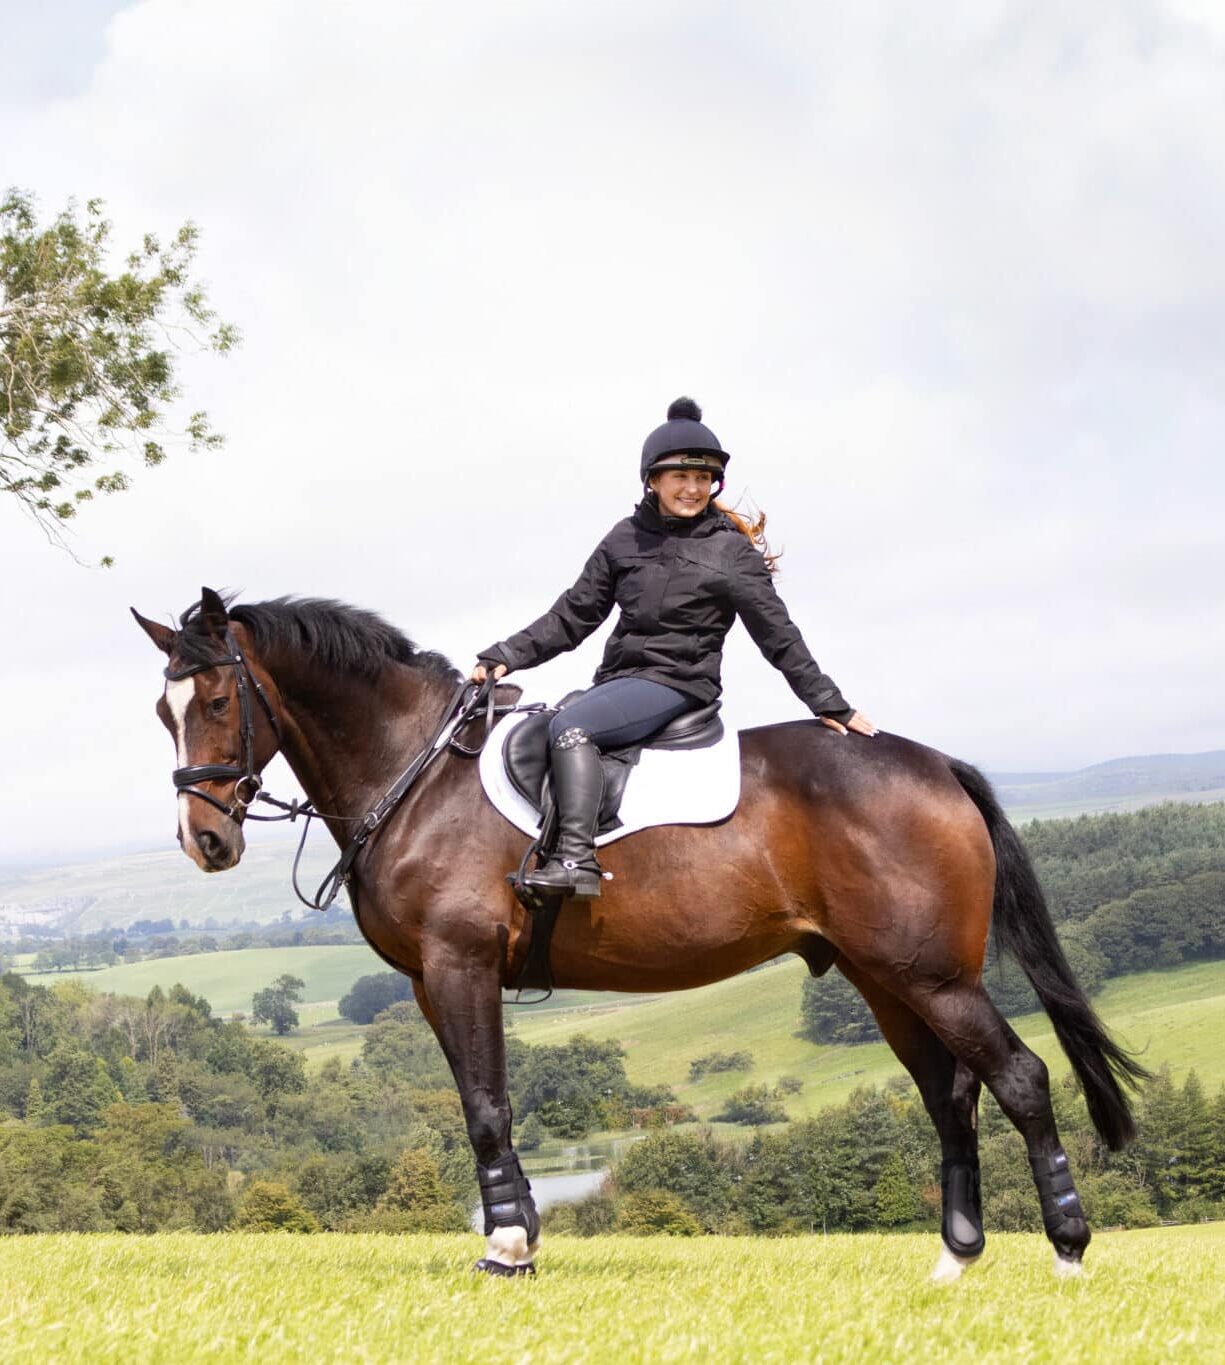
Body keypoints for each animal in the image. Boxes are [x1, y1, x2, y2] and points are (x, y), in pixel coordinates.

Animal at [133, 588, 1147, 1280]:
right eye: (162, 711)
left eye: (218, 701)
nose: (205, 841)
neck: (416, 771)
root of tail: (935, 764)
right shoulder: (429, 980)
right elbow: (480, 1103)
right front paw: (518, 1237)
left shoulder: (457, 964)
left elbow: (488, 1106)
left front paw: (508, 1247)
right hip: (884, 977)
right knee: (950, 1095)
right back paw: (954, 1259)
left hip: (932, 975)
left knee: (1018, 1077)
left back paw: (1065, 1249)